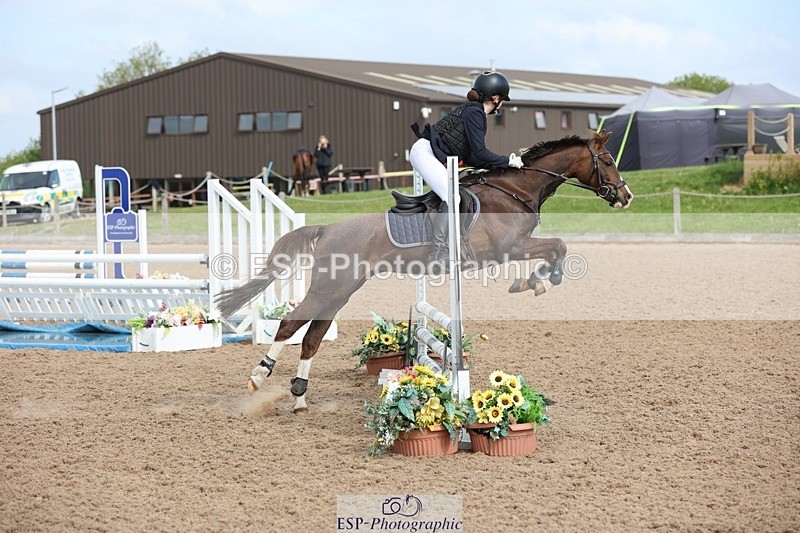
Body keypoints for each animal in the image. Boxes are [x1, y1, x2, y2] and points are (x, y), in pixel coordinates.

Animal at [217, 130, 633, 412]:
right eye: (609, 160)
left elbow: (557, 246)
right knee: (290, 324)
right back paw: (259, 377)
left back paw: (299, 397)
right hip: (329, 289)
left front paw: (538, 279)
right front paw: (539, 280)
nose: (626, 196)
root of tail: (328, 228)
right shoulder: (509, 248)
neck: (514, 189)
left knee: (312, 338)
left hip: (339, 293)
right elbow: (558, 246)